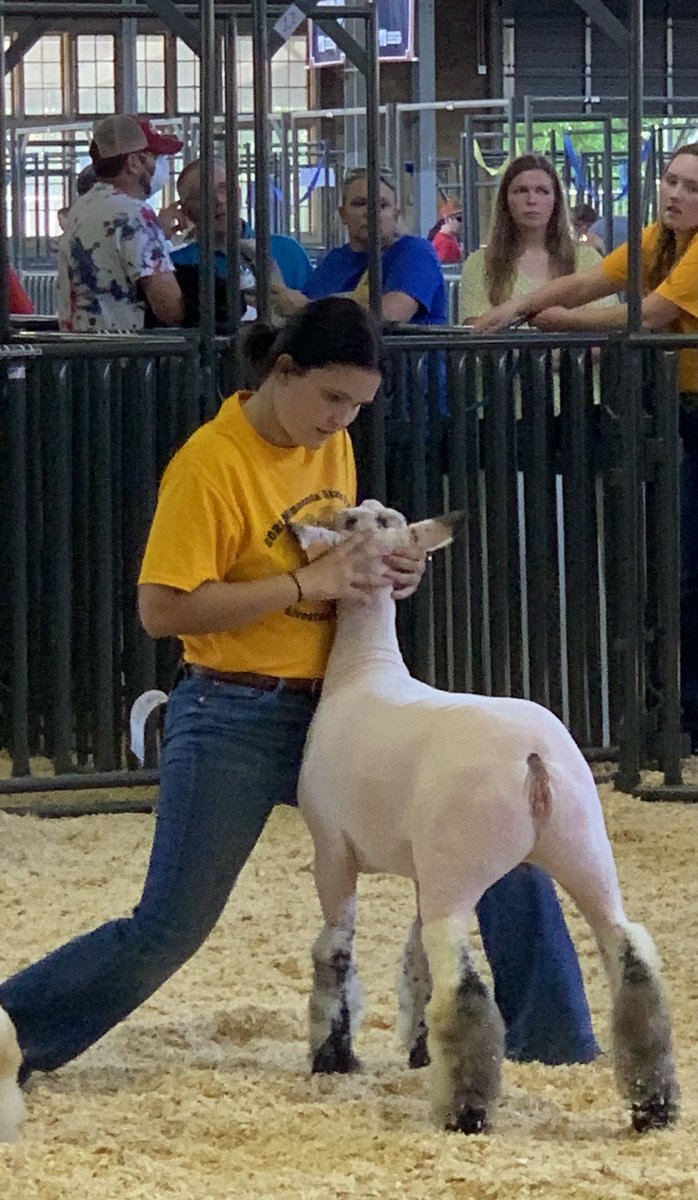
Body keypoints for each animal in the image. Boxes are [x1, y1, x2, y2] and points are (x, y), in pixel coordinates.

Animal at [293, 499, 680, 1136]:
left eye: (352, 521)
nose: (326, 515)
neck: (364, 667)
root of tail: (534, 758)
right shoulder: (420, 867)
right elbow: (414, 958)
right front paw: (418, 1049)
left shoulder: (332, 848)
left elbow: (337, 950)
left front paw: (334, 1053)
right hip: (583, 847)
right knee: (632, 958)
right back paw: (654, 1105)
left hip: (459, 866)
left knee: (467, 985)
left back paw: (466, 1111)